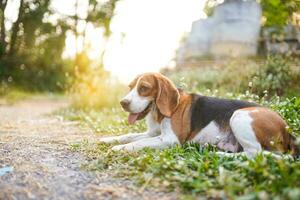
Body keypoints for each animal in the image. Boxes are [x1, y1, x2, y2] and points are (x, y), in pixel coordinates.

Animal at [100, 72, 298, 158]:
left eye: (144, 88)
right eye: (130, 87)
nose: (123, 103)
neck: (159, 112)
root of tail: (286, 129)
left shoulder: (170, 140)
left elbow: (138, 143)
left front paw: (119, 149)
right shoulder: (153, 133)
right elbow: (128, 135)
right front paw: (108, 140)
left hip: (239, 116)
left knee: (254, 154)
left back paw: (219, 156)